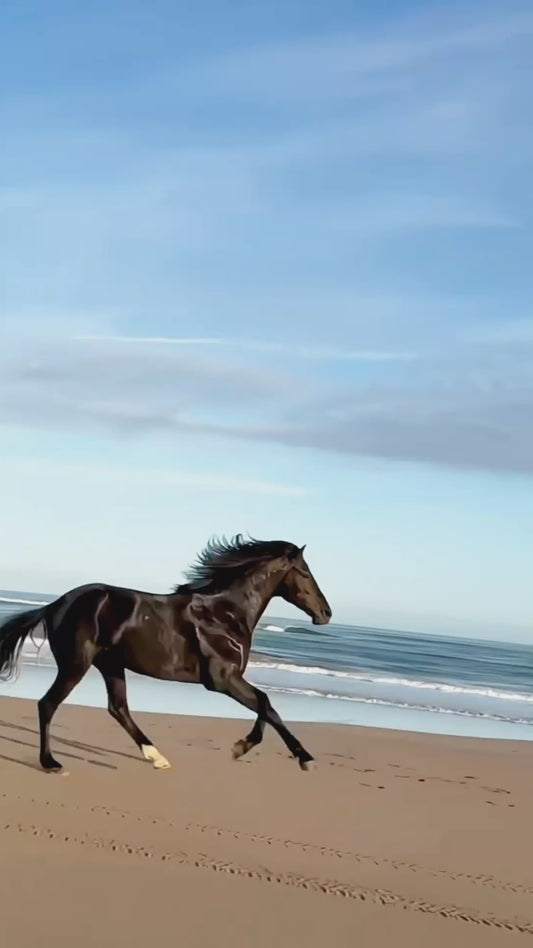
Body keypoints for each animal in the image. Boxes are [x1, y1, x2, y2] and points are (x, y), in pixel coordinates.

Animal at [0, 535, 332, 773]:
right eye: (305, 572)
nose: (326, 613)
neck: (224, 613)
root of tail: (54, 605)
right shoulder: (223, 679)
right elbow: (266, 704)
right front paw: (297, 756)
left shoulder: (230, 679)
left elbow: (265, 706)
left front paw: (249, 747)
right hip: (76, 664)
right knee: (48, 704)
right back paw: (51, 763)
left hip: (110, 665)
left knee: (118, 708)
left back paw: (156, 757)